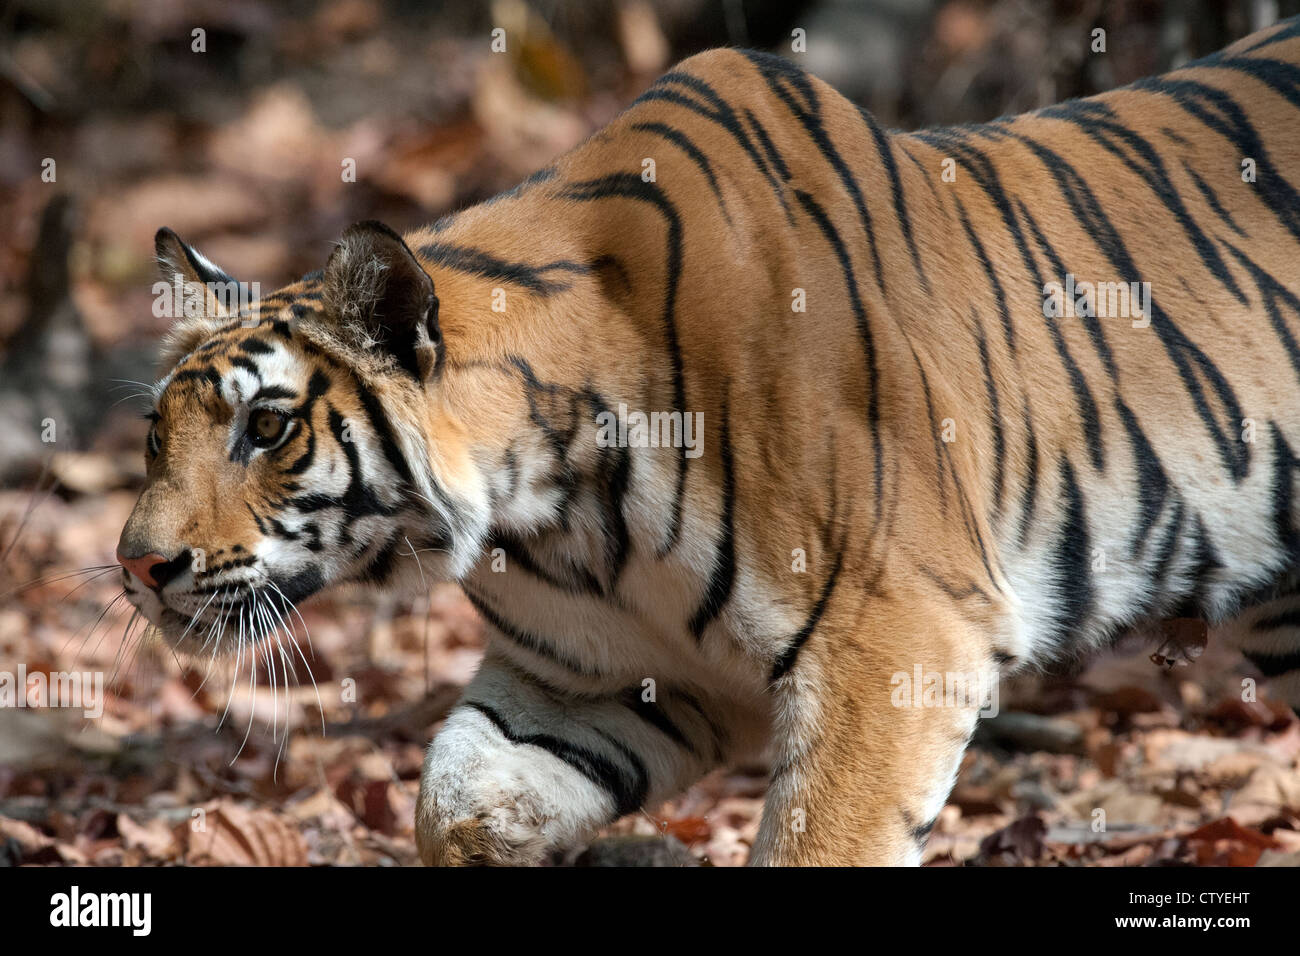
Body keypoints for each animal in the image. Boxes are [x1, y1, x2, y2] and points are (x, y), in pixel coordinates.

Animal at [114, 14, 1300, 868]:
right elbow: (457, 797)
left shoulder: (894, 640)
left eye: (267, 427)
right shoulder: (606, 678)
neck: (550, 505)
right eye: (156, 433)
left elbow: (820, 844)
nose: (138, 567)